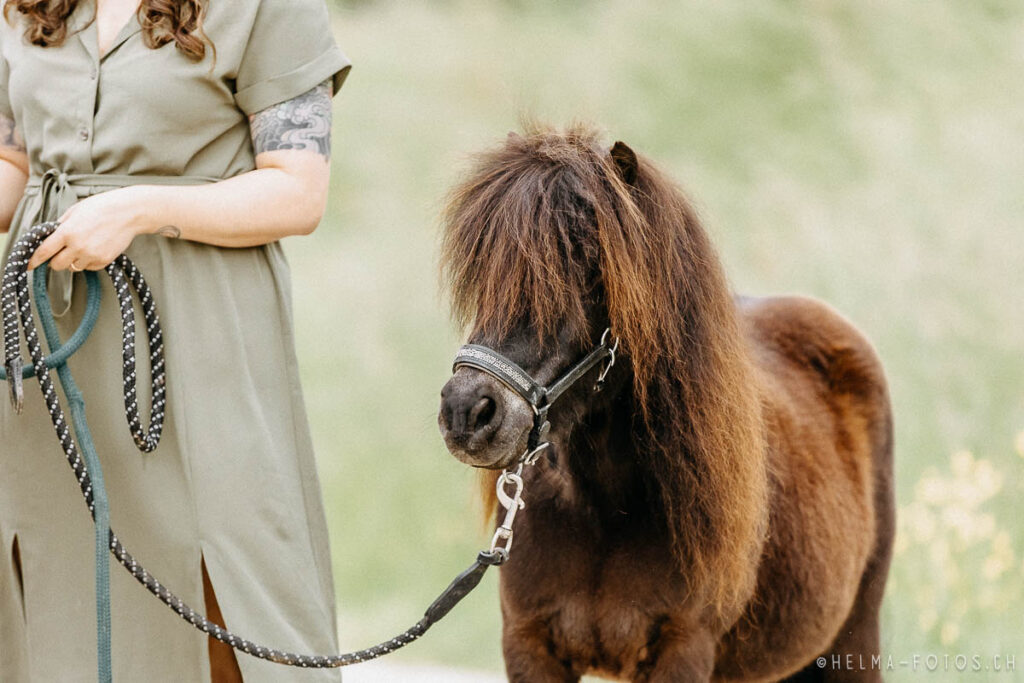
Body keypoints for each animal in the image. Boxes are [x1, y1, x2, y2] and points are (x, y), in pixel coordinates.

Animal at [436, 124, 892, 683]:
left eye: (588, 265)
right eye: (483, 272)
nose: (467, 413)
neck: (606, 511)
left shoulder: (683, 651)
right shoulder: (529, 647)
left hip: (854, 639)